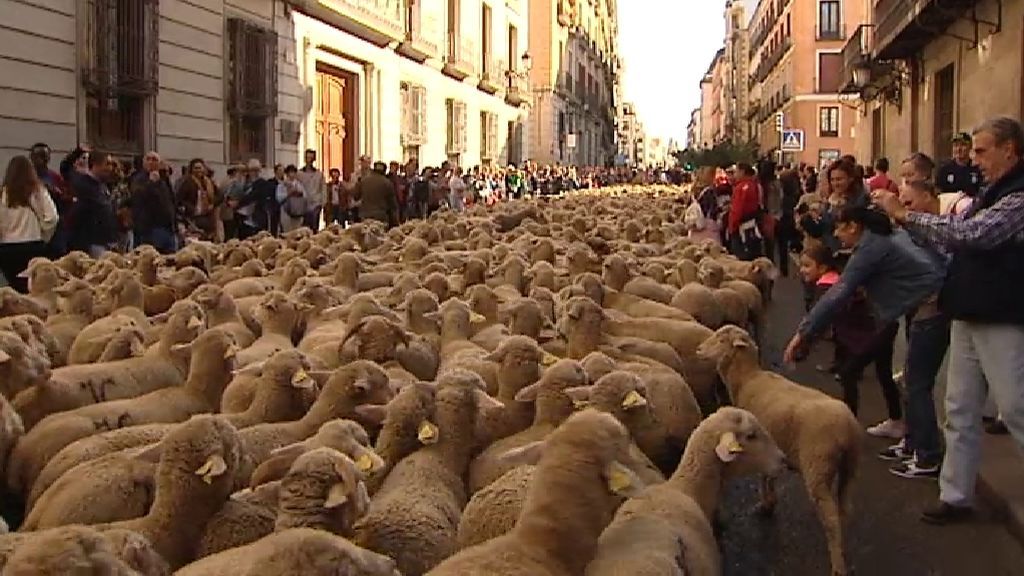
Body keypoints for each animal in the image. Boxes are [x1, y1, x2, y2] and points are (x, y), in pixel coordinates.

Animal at [696, 323, 864, 573]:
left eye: (721, 340)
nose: (698, 349)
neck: (747, 378)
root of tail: (848, 427)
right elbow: (770, 475)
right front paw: (770, 502)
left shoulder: (757, 444)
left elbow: (762, 476)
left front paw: (766, 504)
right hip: (850, 467)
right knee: (844, 509)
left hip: (817, 467)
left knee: (831, 518)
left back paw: (837, 566)